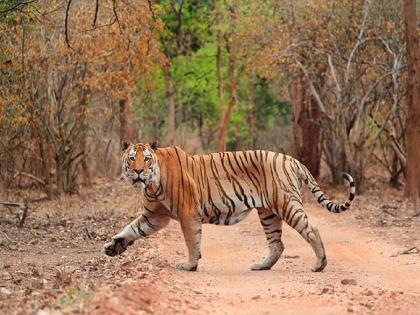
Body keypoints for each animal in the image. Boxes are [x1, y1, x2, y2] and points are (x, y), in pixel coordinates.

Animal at [104, 139, 354, 272]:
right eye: (132, 158)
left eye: (146, 158)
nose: (138, 171)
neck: (152, 184)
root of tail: (293, 160)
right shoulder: (154, 216)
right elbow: (131, 229)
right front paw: (112, 247)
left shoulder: (187, 213)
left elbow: (191, 240)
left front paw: (190, 265)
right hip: (268, 213)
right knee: (277, 243)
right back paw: (261, 266)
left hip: (286, 203)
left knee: (311, 229)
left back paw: (320, 264)